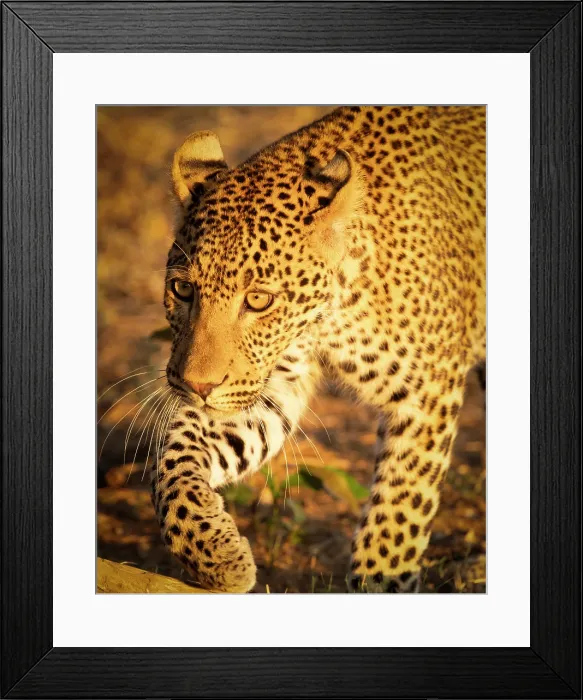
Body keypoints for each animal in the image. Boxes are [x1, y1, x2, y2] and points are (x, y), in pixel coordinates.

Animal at [150, 106, 486, 593]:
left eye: (259, 300)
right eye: (183, 290)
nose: (195, 387)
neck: (328, 317)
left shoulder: (427, 393)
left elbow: (396, 519)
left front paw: (382, 583)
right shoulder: (268, 384)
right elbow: (173, 458)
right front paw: (214, 554)